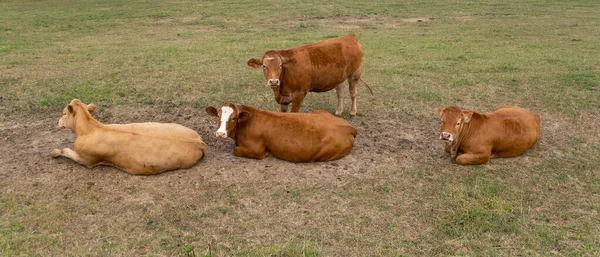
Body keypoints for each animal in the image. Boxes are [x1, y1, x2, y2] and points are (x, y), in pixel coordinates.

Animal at [50, 98, 209, 174]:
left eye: (63, 113)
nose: (57, 121)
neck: (90, 129)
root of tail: (199, 141)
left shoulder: (86, 160)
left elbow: (65, 150)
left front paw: (54, 152)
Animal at [206, 102, 356, 161]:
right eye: (218, 116)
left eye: (233, 118)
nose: (220, 133)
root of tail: (348, 127)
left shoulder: (256, 150)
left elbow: (235, 150)